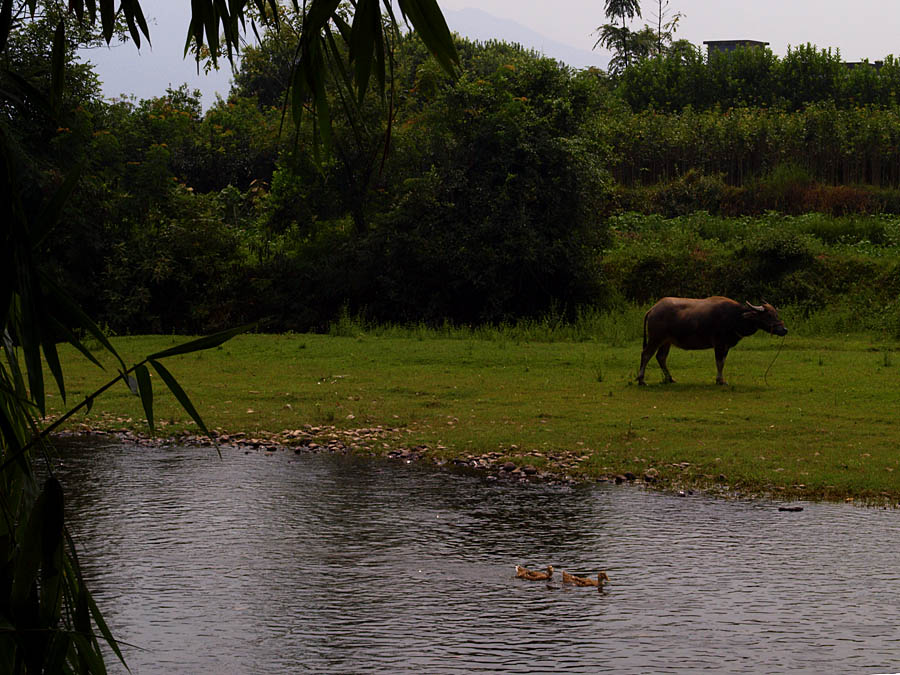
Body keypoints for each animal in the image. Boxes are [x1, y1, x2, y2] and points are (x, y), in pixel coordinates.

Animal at [632, 296, 788, 386]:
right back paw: (641, 380)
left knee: (661, 357)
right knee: (646, 354)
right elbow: (719, 362)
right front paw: (720, 380)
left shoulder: (726, 346)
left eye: (776, 313)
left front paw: (720, 379)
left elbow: (722, 362)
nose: (784, 329)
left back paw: (670, 379)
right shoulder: (719, 344)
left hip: (666, 341)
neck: (735, 317)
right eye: (769, 315)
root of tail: (653, 309)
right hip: (655, 338)